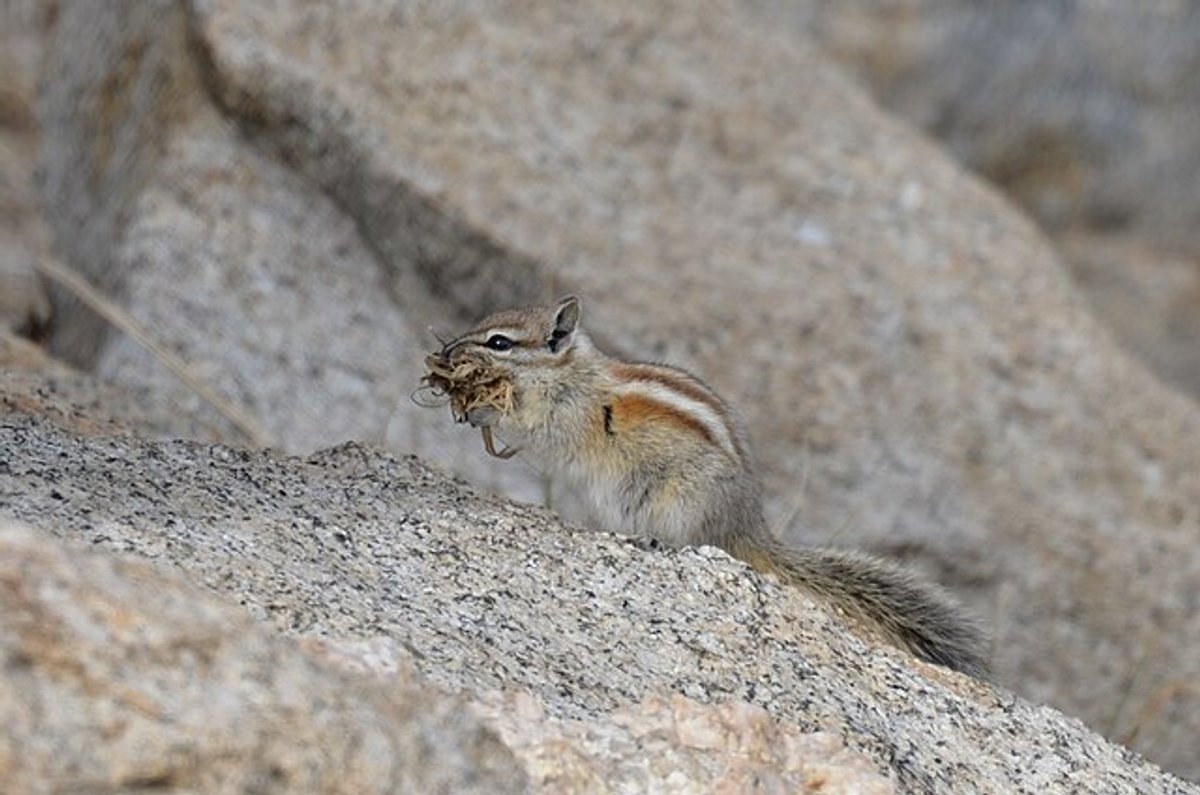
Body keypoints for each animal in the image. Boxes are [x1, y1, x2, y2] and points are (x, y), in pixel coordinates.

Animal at [428, 295, 986, 677]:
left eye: (499, 342)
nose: (449, 349)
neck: (569, 372)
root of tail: (748, 527)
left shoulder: (562, 417)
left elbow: (530, 428)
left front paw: (481, 409)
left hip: (682, 503)